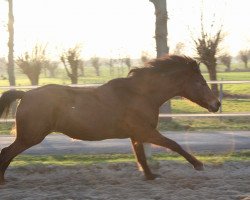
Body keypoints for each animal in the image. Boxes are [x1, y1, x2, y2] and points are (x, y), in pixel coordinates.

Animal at [0, 54, 220, 184]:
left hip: (29, 137)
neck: (141, 95)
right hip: (30, 137)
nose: (217, 104)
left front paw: (150, 176)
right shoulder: (146, 131)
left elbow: (141, 156)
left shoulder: (136, 134)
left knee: (7, 154)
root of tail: (25, 95)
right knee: (6, 152)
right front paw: (198, 164)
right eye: (201, 83)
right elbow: (174, 144)